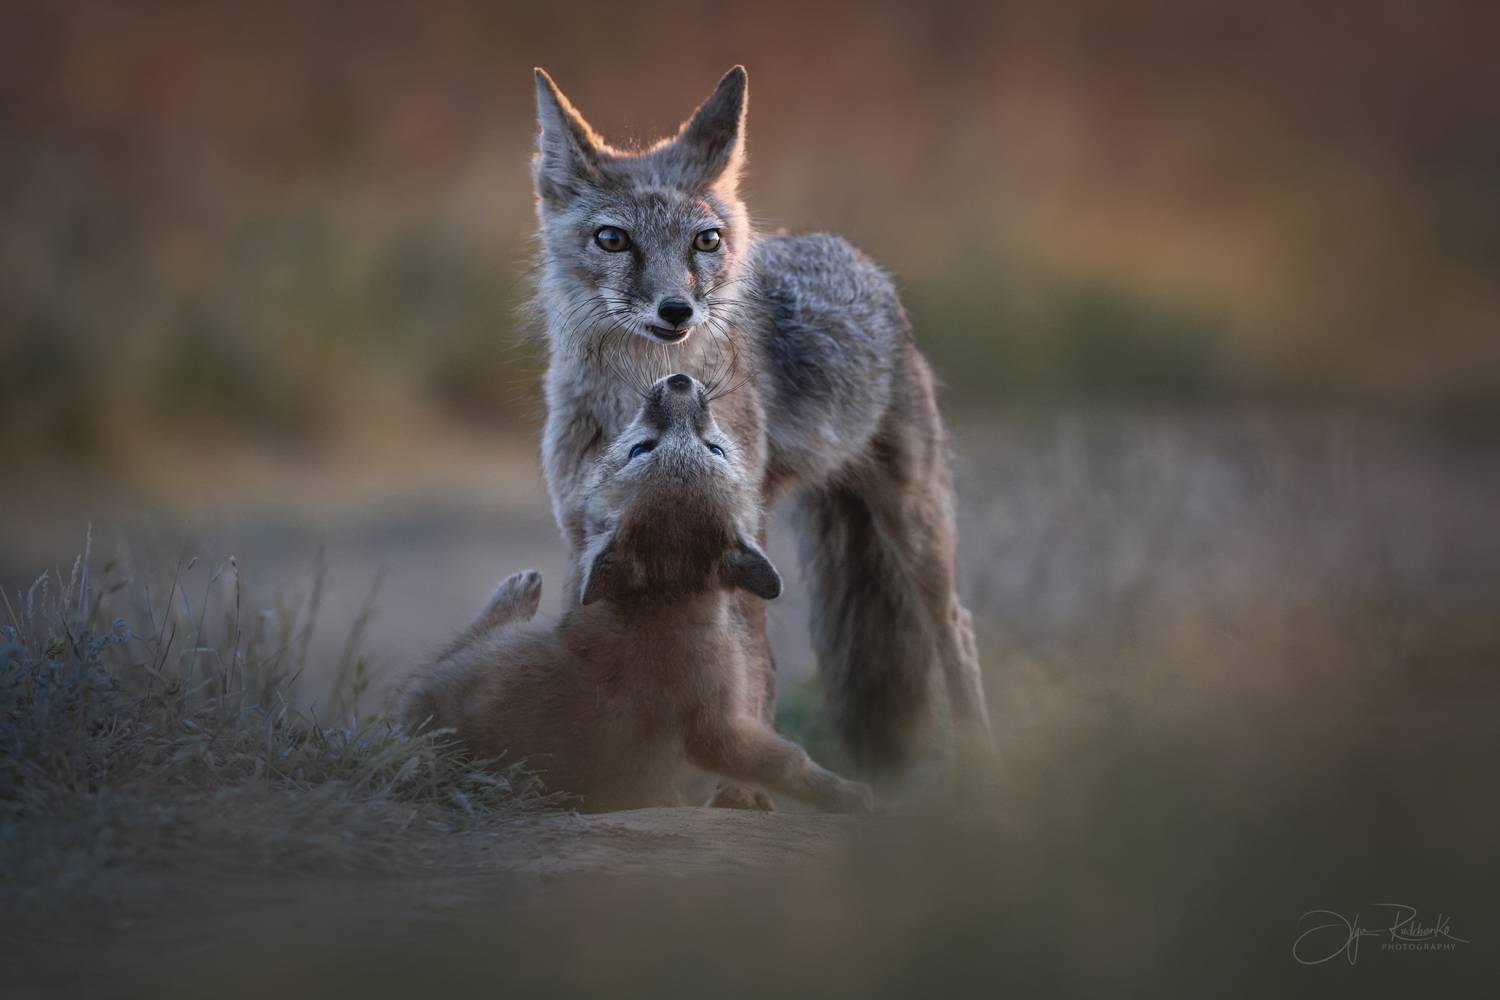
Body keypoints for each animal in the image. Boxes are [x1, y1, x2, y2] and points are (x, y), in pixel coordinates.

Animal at [397, 373, 872, 814]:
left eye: (714, 450)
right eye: (641, 449)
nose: (679, 380)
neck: (666, 597)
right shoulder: (717, 731)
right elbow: (789, 760)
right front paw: (847, 795)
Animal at [529, 65, 992, 781]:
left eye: (705, 241)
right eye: (612, 238)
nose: (677, 310)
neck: (636, 396)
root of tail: (851, 254)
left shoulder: (735, 546)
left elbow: (752, 678)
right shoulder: (581, 536)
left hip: (915, 528)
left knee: (957, 633)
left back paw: (982, 764)